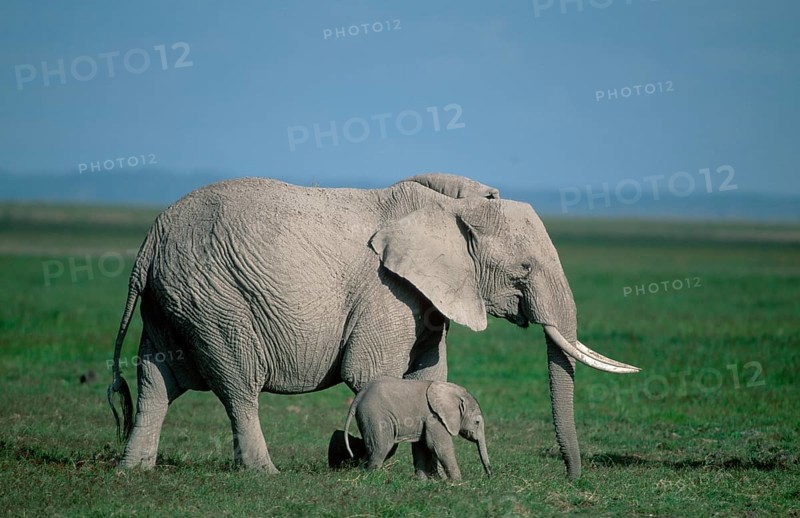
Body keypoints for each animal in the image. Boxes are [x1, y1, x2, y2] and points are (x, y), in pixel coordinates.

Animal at [343, 377, 491, 480]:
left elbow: (423, 447)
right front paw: (458, 482)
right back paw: (373, 478)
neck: (453, 391)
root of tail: (359, 396)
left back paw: (359, 473)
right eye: (477, 422)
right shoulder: (434, 417)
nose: (489, 476)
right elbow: (440, 447)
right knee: (381, 447)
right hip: (375, 414)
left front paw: (423, 481)